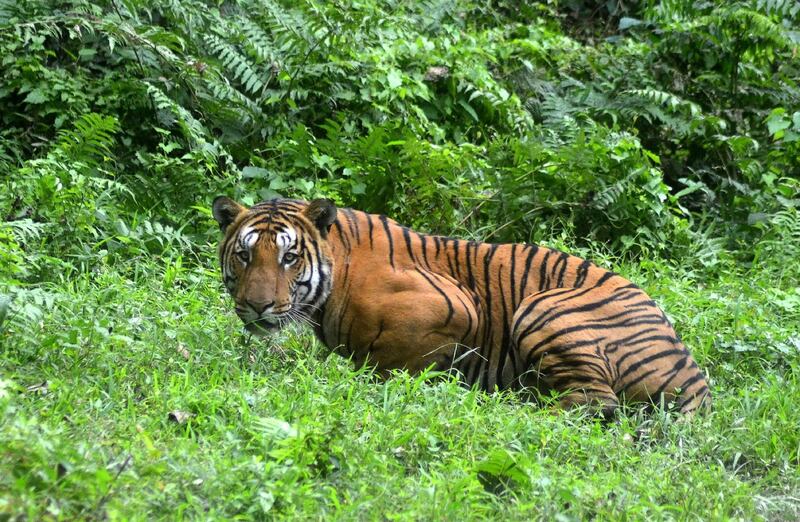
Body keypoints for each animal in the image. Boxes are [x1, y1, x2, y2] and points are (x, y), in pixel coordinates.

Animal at [212, 194, 712, 414]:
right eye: (245, 254)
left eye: (289, 257)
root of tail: (695, 380)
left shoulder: (454, 306)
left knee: (596, 403)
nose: (257, 306)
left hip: (542, 308)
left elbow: (392, 363)